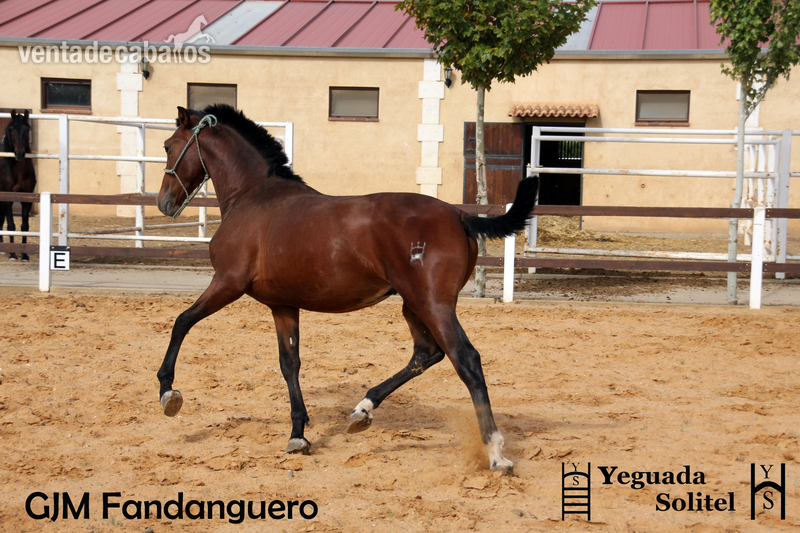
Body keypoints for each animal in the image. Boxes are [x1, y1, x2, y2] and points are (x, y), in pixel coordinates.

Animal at [156, 104, 538, 474]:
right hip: (413, 305)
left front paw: (168, 392)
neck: (253, 198)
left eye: (168, 146)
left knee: (465, 359)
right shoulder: (282, 304)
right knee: (425, 353)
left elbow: (181, 322)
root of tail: (460, 215)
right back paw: (362, 411)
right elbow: (289, 363)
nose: (164, 203)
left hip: (433, 304)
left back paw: (495, 453)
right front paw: (298, 435)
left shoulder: (227, 282)